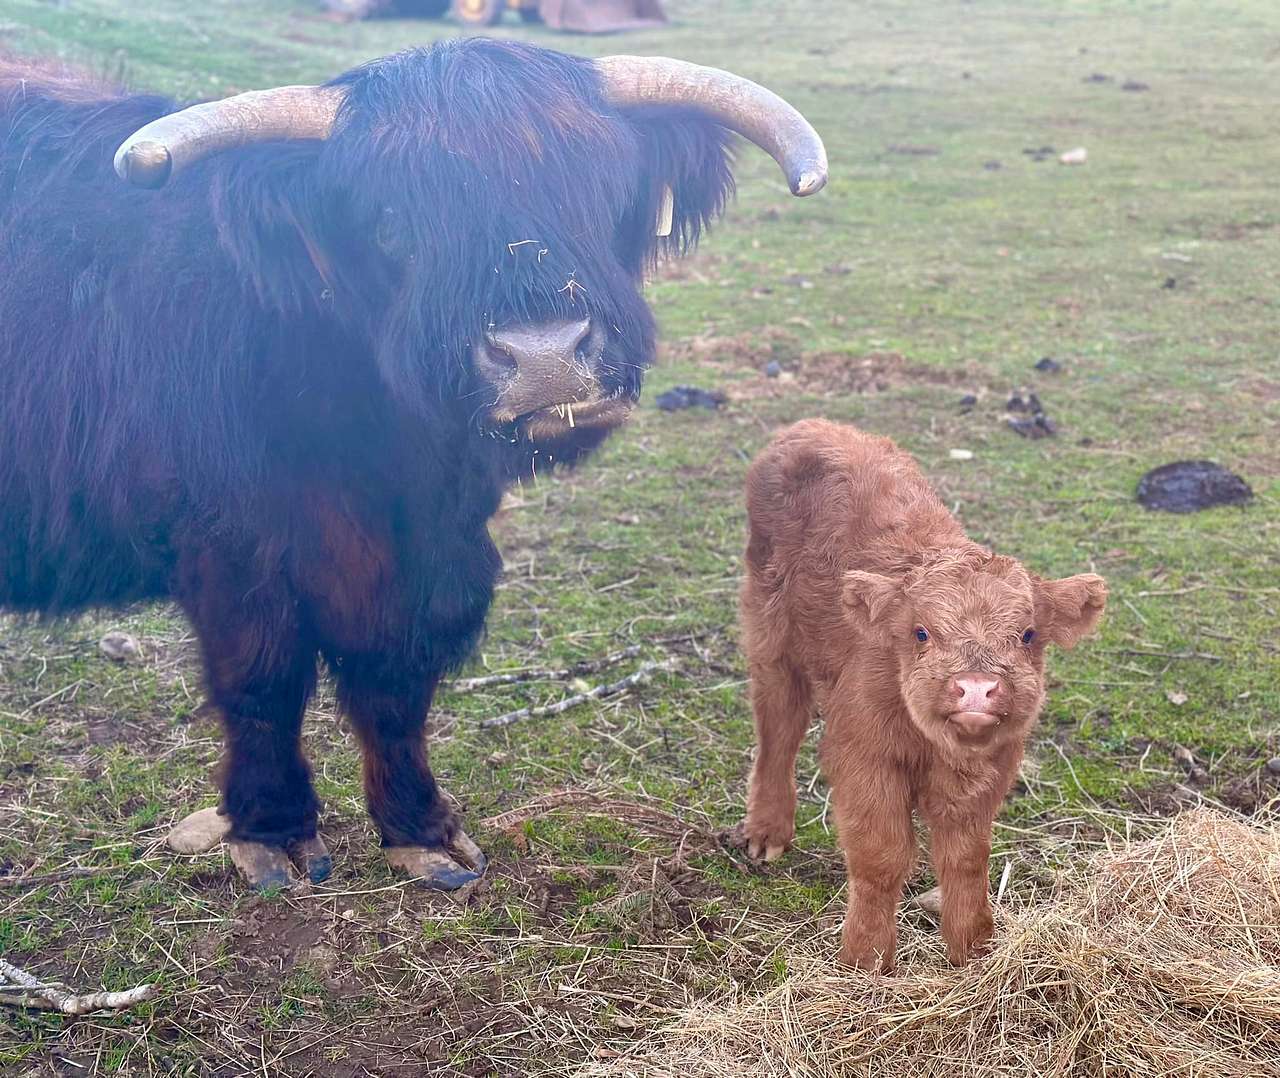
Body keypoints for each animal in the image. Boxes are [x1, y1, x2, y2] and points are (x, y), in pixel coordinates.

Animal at [0, 40, 826, 891]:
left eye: (603, 190)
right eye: (392, 223)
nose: (543, 357)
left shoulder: (420, 558)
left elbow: (395, 681)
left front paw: (421, 830)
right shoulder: (228, 550)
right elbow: (263, 681)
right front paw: (273, 832)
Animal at [736, 420, 1106, 969]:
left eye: (1027, 635)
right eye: (921, 632)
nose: (976, 688)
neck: (936, 748)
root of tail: (811, 427)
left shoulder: (992, 767)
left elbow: (966, 858)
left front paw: (973, 952)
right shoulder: (864, 755)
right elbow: (881, 856)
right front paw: (865, 959)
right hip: (770, 631)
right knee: (778, 725)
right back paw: (766, 833)